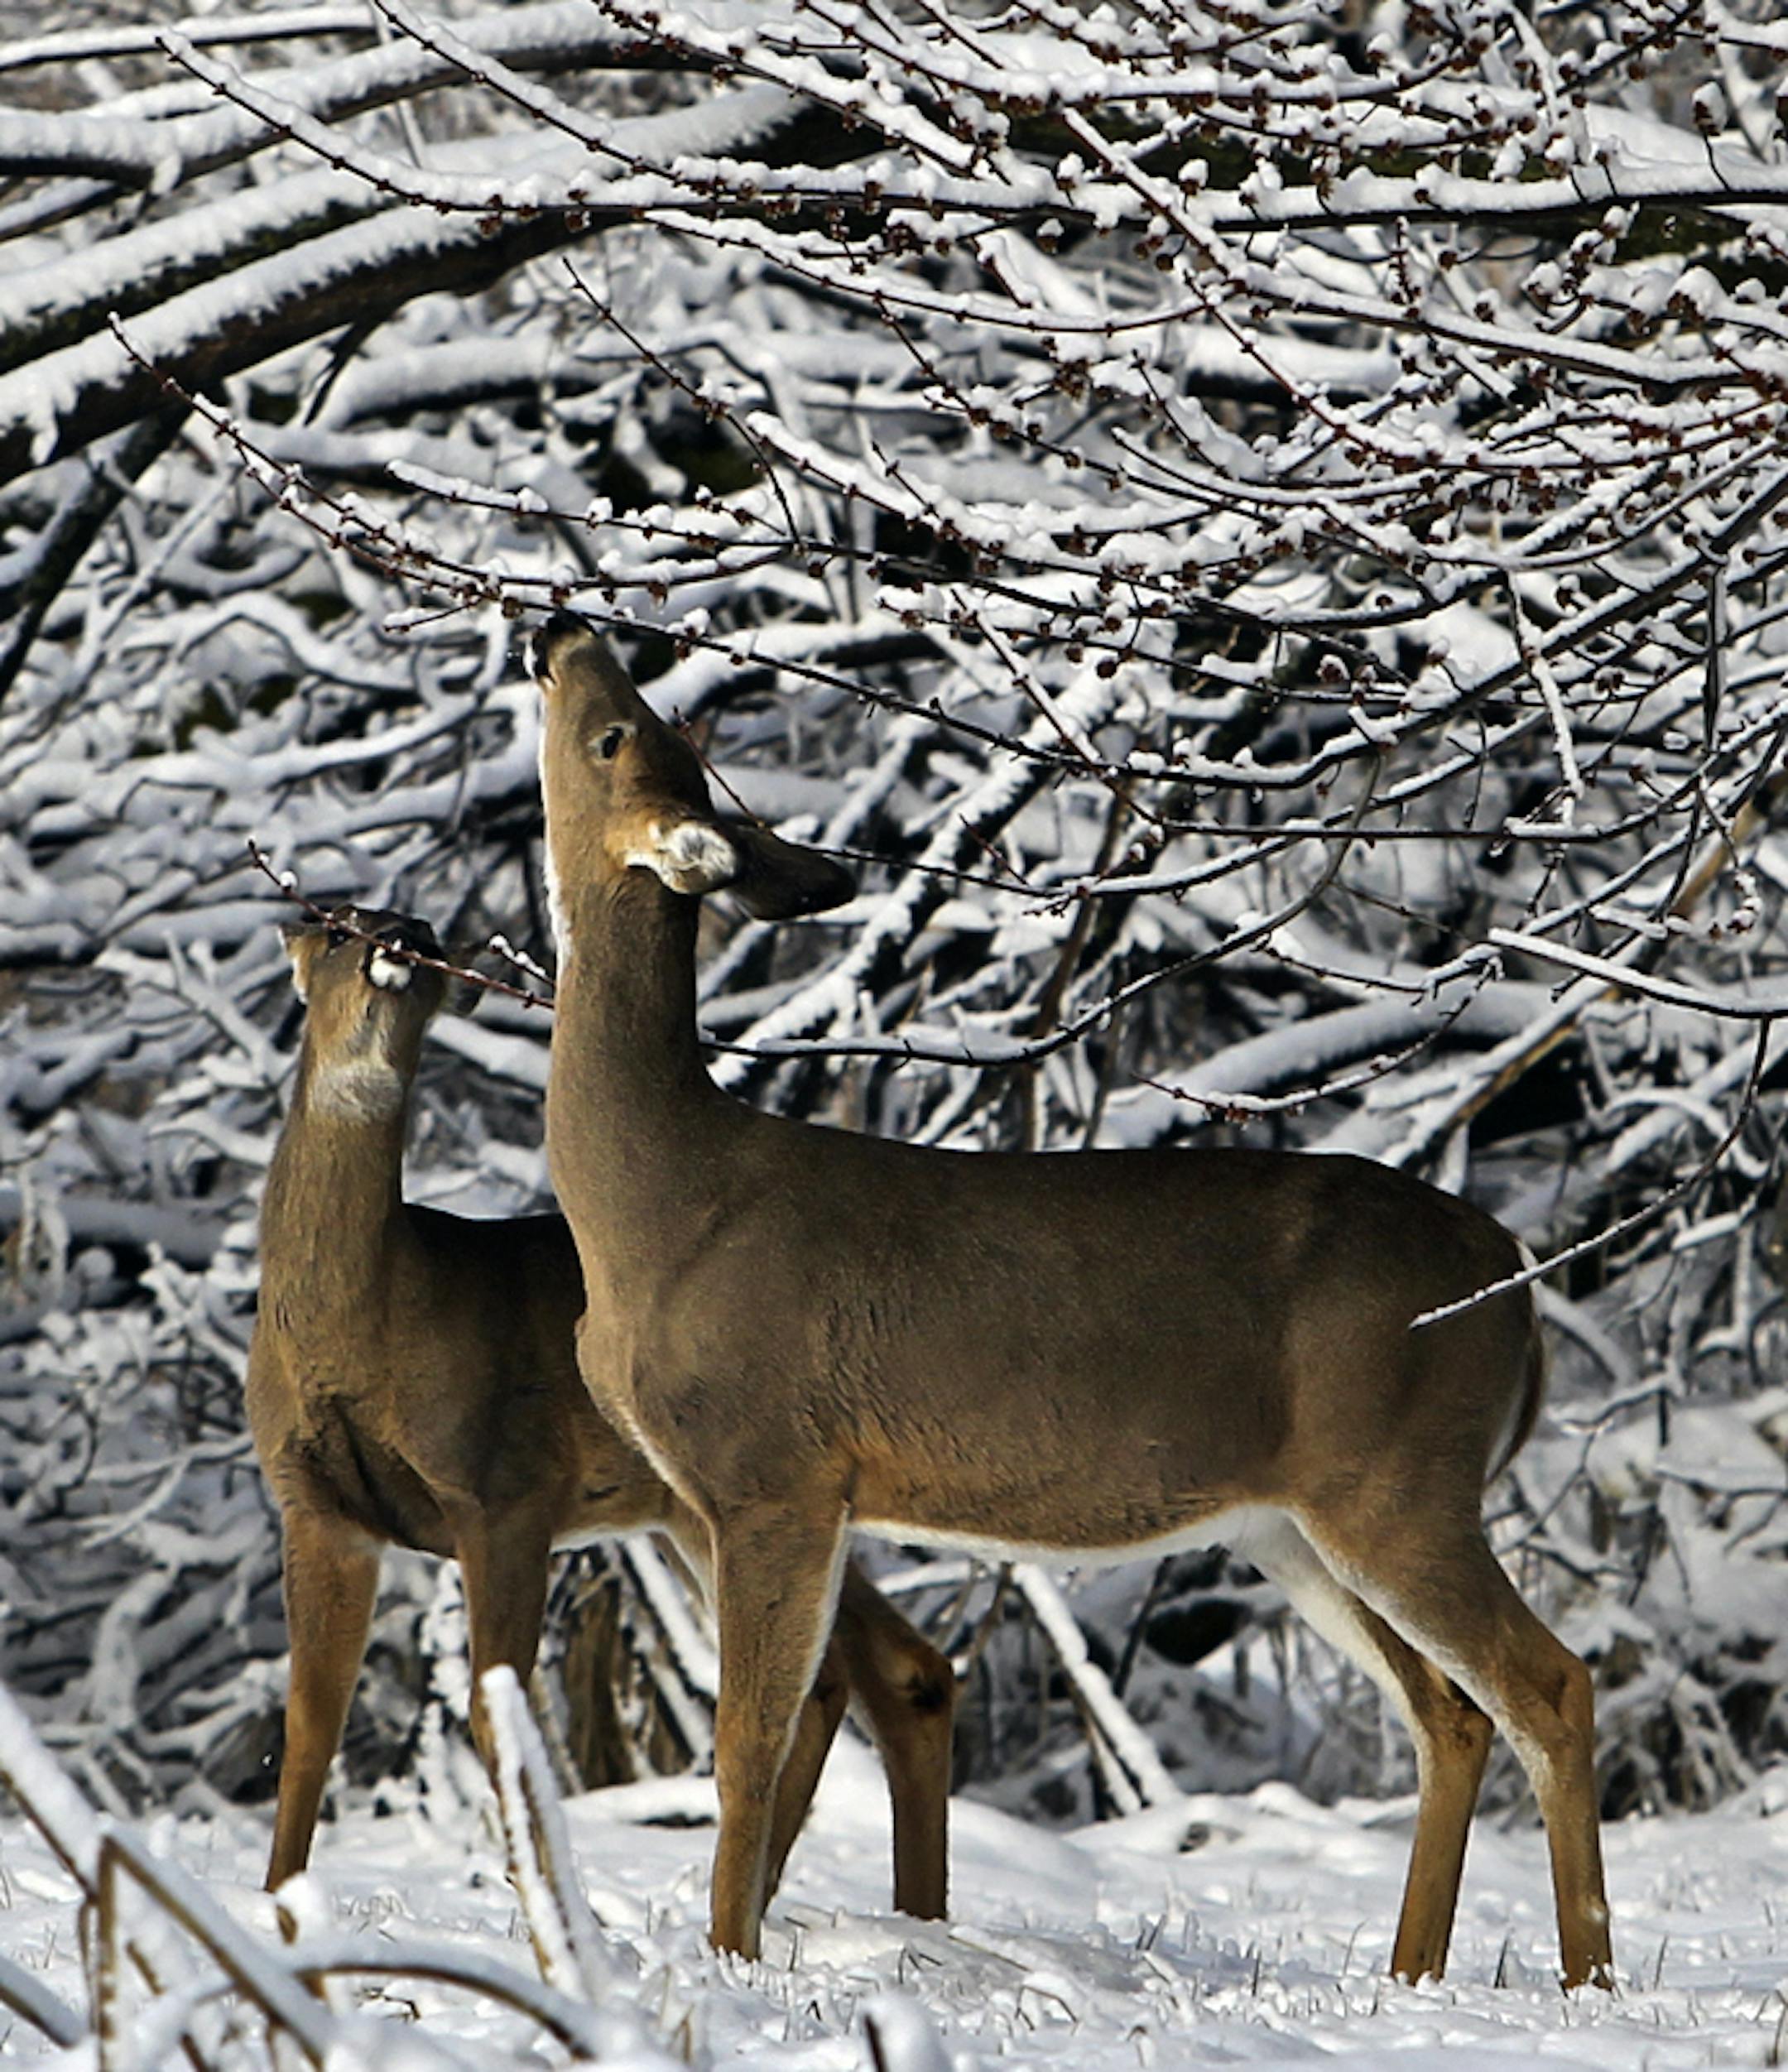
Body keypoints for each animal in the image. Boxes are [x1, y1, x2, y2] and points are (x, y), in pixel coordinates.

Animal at [247, 903, 955, 1914]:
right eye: (339, 930)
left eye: (424, 932)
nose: (408, 937)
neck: (368, 1322)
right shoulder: (314, 1503)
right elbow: (311, 1719)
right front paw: (275, 1905)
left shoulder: (502, 1485)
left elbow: (498, 1713)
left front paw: (546, 1907)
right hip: (702, 1510)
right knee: (878, 1672)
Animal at [529, 611, 1614, 1990]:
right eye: (653, 724)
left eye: (614, 732)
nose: (561, 629)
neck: (656, 1202)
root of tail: (1517, 1288)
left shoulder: (772, 1469)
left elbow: (746, 1742)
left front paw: (729, 1959)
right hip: (1297, 1518)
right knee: (1450, 1711)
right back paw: (1408, 1972)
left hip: (1404, 1476)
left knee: (1550, 1684)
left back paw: (1587, 1980)